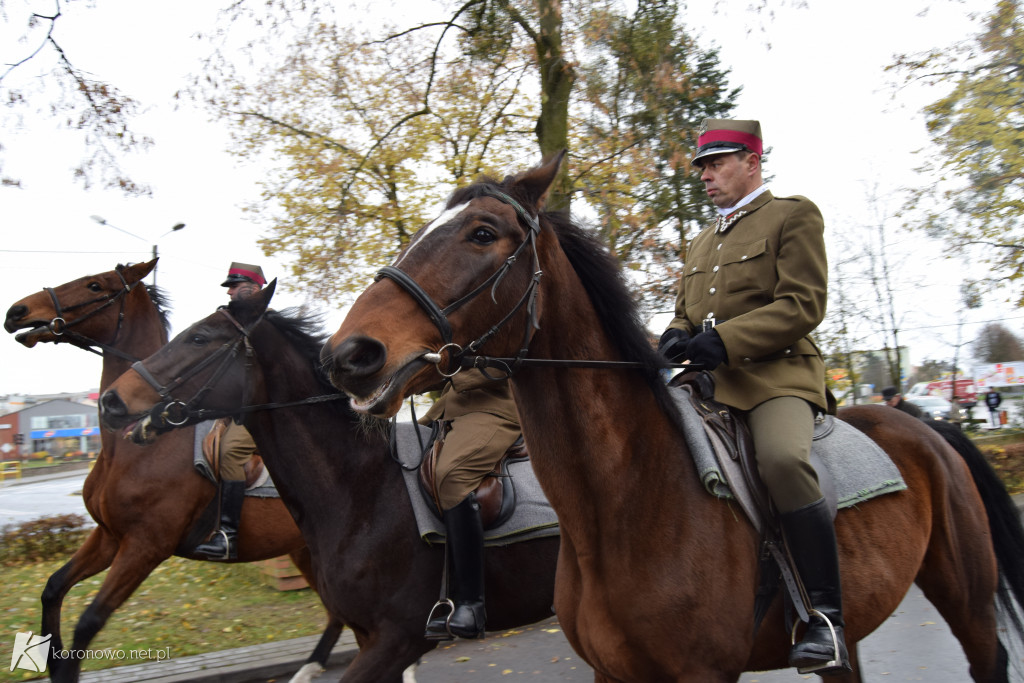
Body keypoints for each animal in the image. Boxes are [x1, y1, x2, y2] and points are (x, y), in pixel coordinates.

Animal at [4, 262, 339, 683]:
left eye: (94, 285)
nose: (17, 311)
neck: (132, 446)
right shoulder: (110, 537)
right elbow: (53, 588)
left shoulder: (146, 546)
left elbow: (89, 622)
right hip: (304, 550)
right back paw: (311, 665)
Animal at [315, 156, 1024, 683]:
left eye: (483, 233)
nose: (349, 354)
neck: (623, 505)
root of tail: (928, 428)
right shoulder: (612, 671)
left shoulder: (700, 674)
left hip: (966, 600)